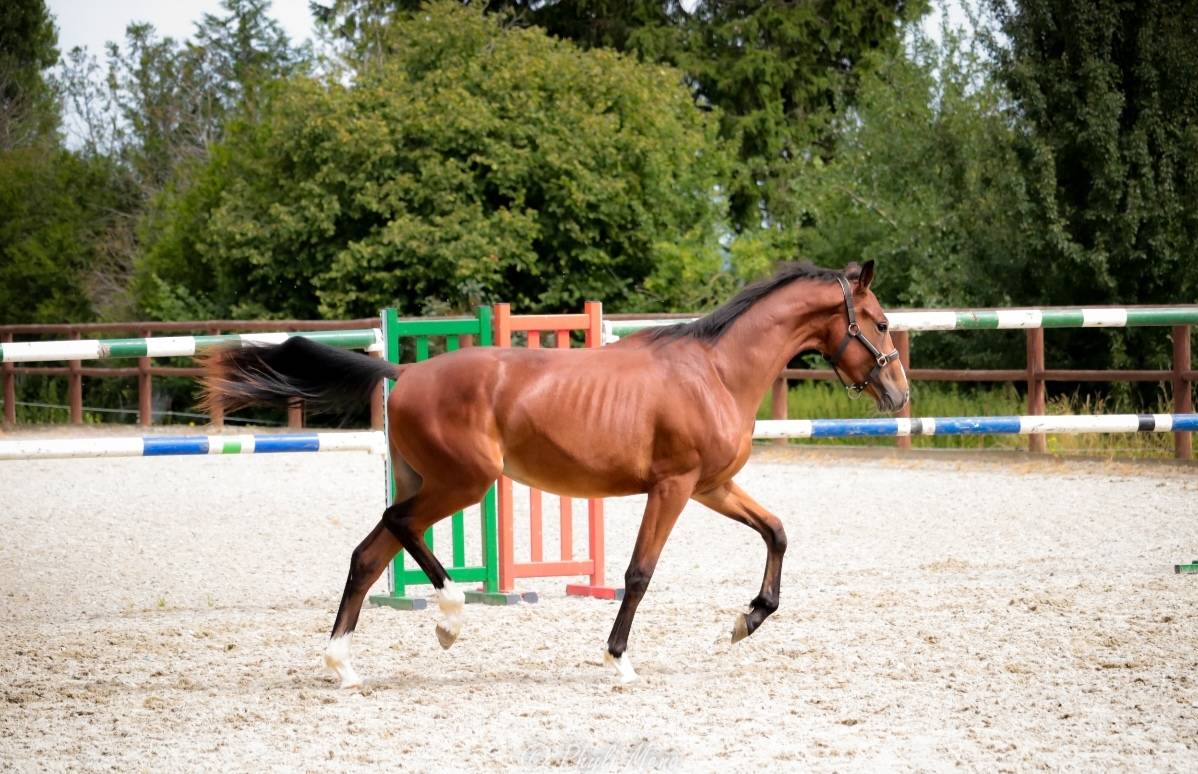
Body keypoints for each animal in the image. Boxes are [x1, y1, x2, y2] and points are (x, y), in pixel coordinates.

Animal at [201, 260, 909, 687]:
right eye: (878, 324)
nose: (900, 396)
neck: (714, 372)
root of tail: (405, 372)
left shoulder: (712, 487)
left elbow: (777, 531)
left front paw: (746, 620)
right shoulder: (674, 487)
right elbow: (639, 572)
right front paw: (618, 661)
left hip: (433, 482)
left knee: (369, 554)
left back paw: (342, 664)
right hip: (463, 483)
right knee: (396, 526)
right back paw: (449, 616)